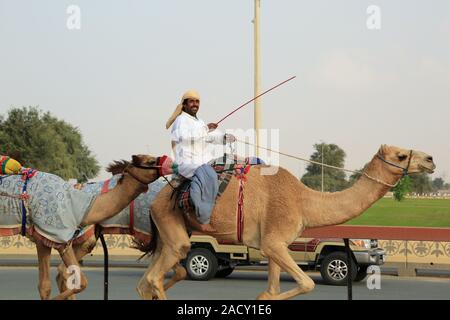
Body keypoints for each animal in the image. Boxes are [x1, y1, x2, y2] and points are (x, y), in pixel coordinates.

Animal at [134, 145, 436, 300]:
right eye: (400, 155)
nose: (431, 159)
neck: (304, 201)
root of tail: (157, 198)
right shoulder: (274, 241)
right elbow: (308, 284)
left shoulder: (272, 244)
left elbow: (270, 291)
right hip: (172, 225)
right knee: (157, 276)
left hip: (168, 232)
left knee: (147, 281)